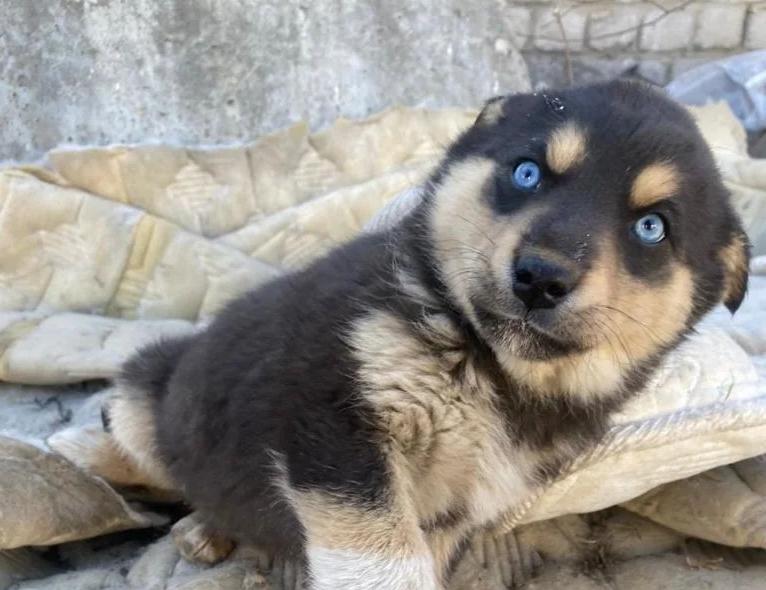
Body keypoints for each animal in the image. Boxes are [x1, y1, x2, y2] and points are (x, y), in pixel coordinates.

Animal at [106, 80, 752, 590]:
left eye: (652, 228)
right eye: (527, 172)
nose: (540, 278)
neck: (490, 368)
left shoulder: (459, 505)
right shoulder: (335, 430)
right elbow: (385, 564)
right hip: (134, 402)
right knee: (184, 478)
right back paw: (202, 527)